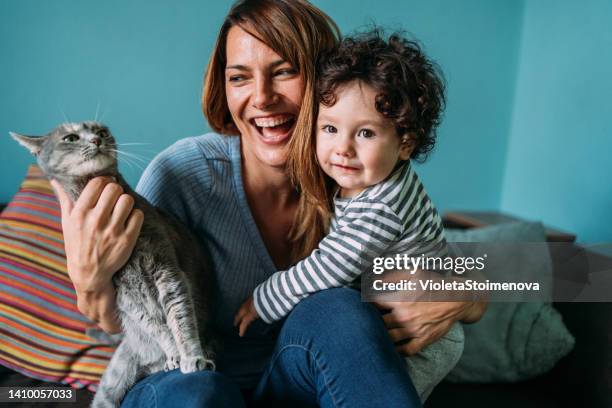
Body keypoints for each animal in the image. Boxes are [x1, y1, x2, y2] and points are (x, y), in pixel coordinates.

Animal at [10, 122, 218, 408]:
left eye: (102, 131)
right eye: (71, 137)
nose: (96, 140)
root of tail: (147, 365)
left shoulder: (167, 271)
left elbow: (180, 316)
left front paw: (191, 356)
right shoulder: (122, 293)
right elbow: (156, 325)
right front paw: (174, 354)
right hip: (114, 377)